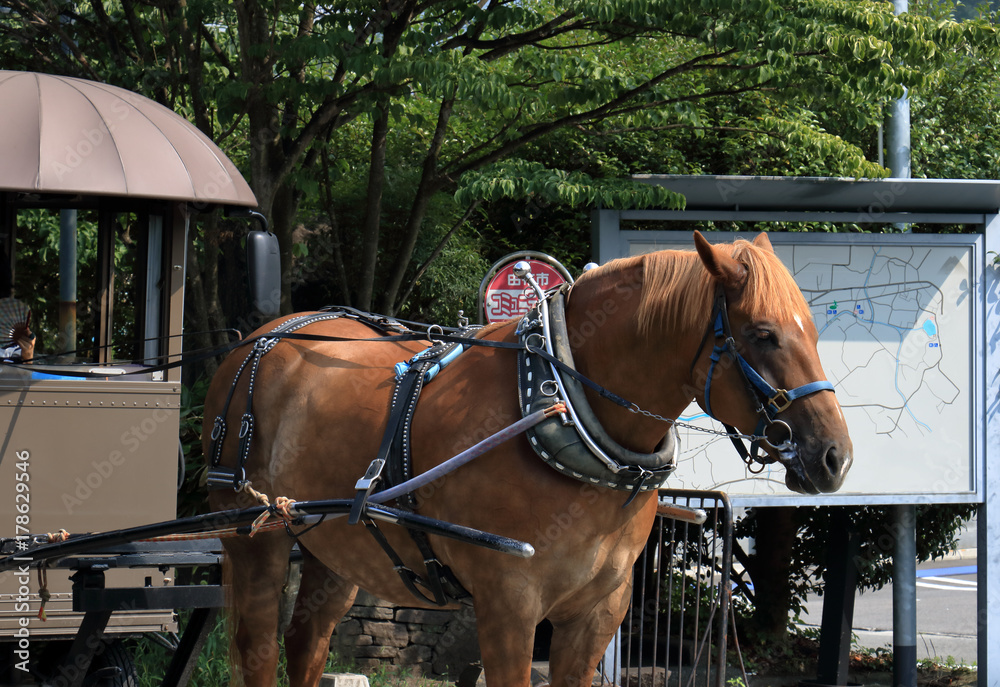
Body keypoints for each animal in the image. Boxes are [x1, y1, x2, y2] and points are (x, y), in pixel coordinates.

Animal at [203, 231, 852, 687]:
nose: (835, 457)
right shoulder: (508, 603)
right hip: (253, 535)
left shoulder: (599, 611)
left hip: (337, 543)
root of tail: (256, 336)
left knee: (305, 643)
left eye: (815, 332)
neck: (562, 407)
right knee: (255, 650)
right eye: (763, 334)